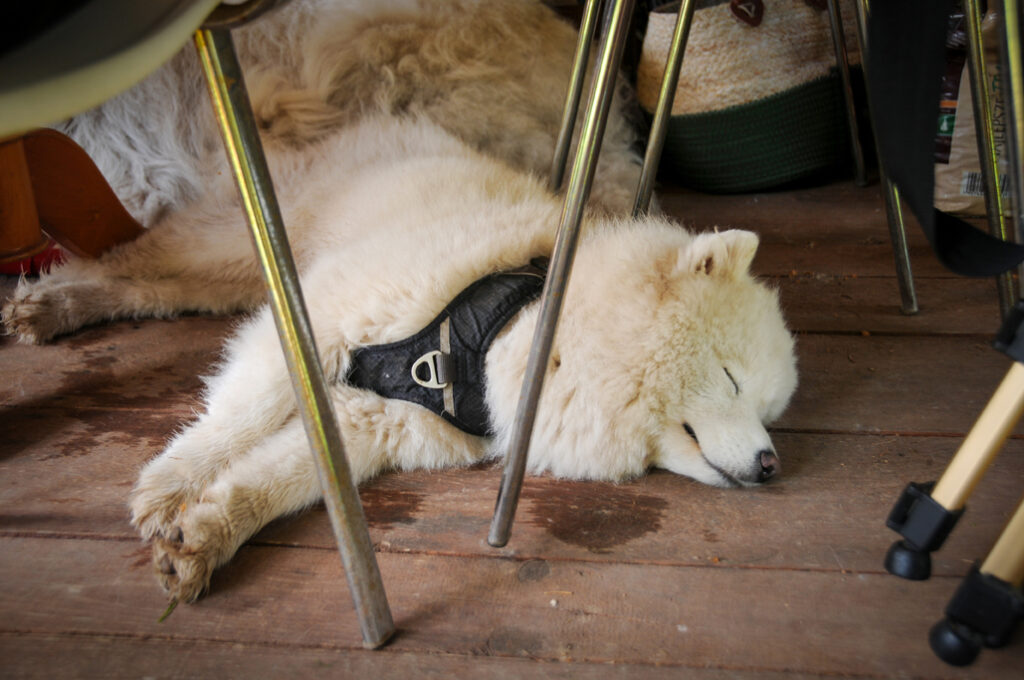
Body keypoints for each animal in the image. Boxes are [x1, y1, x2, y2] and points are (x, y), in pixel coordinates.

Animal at [2, 0, 798, 603]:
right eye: (730, 379)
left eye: (769, 411)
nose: (771, 465)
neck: (497, 333)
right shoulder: (315, 323)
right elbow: (238, 418)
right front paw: (171, 483)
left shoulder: (367, 426)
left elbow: (278, 481)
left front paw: (203, 537)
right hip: (232, 247)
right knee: (128, 259)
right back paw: (50, 300)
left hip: (226, 276)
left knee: (149, 286)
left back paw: (53, 308)